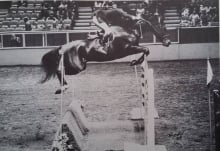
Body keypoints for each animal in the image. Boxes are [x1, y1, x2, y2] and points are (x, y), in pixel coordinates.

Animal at [41, 8, 172, 94]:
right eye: (162, 27)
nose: (168, 42)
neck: (130, 29)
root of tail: (62, 47)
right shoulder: (127, 48)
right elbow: (146, 49)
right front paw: (134, 62)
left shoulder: (133, 47)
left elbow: (145, 51)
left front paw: (134, 62)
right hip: (76, 66)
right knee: (59, 69)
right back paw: (63, 88)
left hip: (79, 65)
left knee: (60, 69)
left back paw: (63, 88)